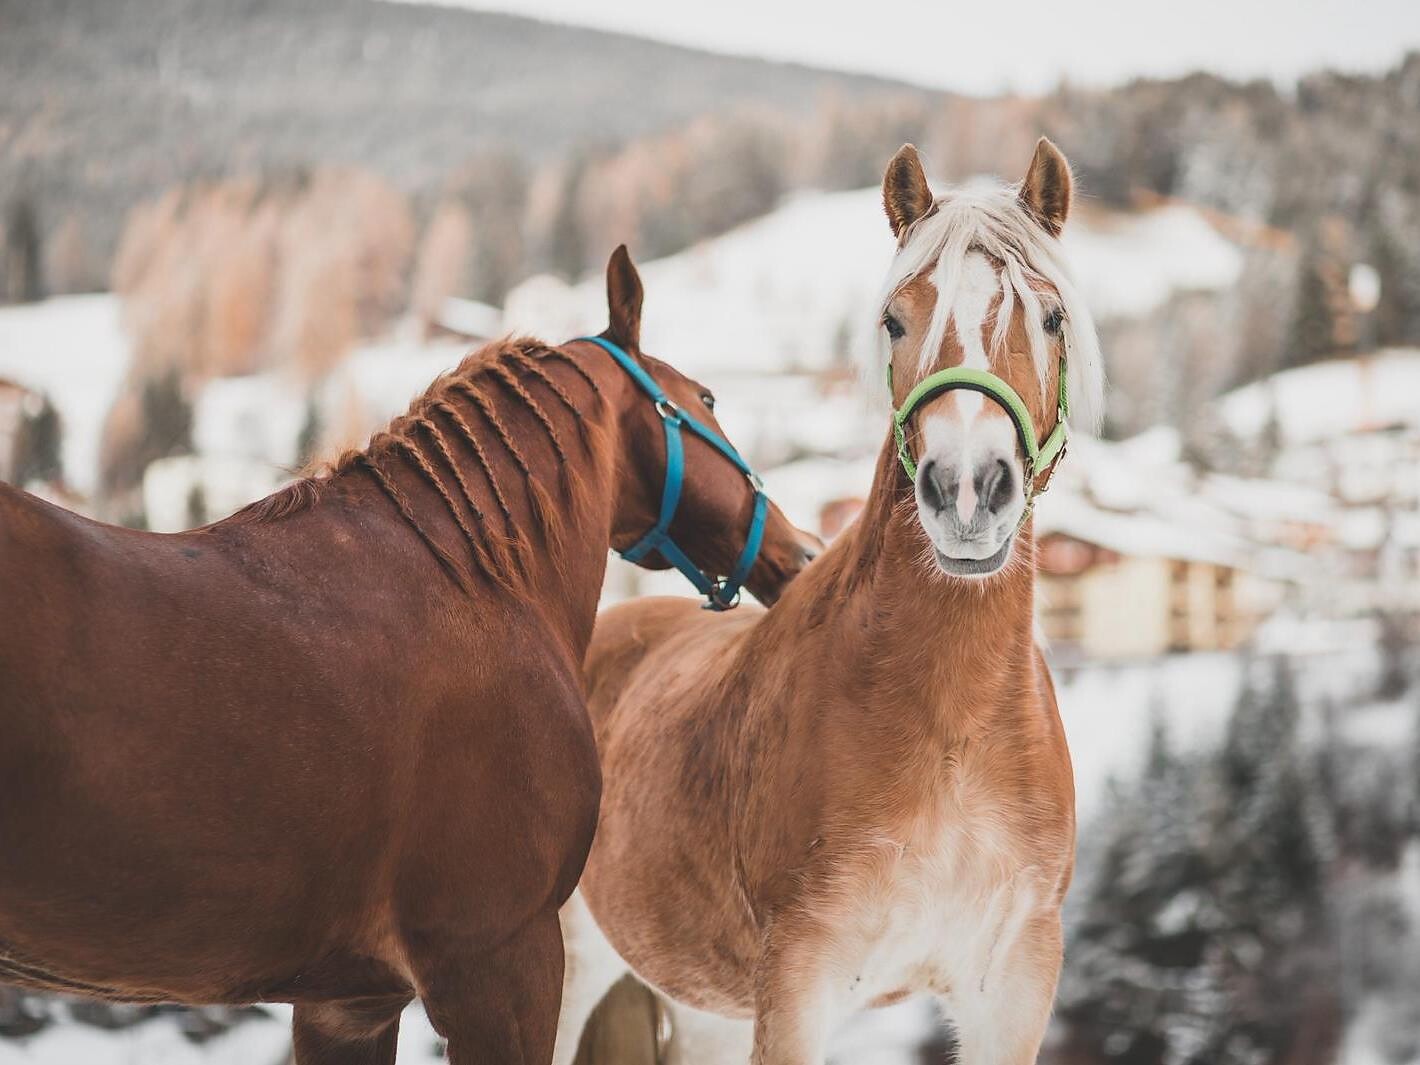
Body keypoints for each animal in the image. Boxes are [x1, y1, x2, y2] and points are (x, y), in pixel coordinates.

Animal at [555, 140, 1106, 1065]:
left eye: (1053, 317)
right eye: (895, 320)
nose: (967, 489)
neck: (951, 732)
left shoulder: (1012, 987)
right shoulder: (798, 984)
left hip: (705, 1008)